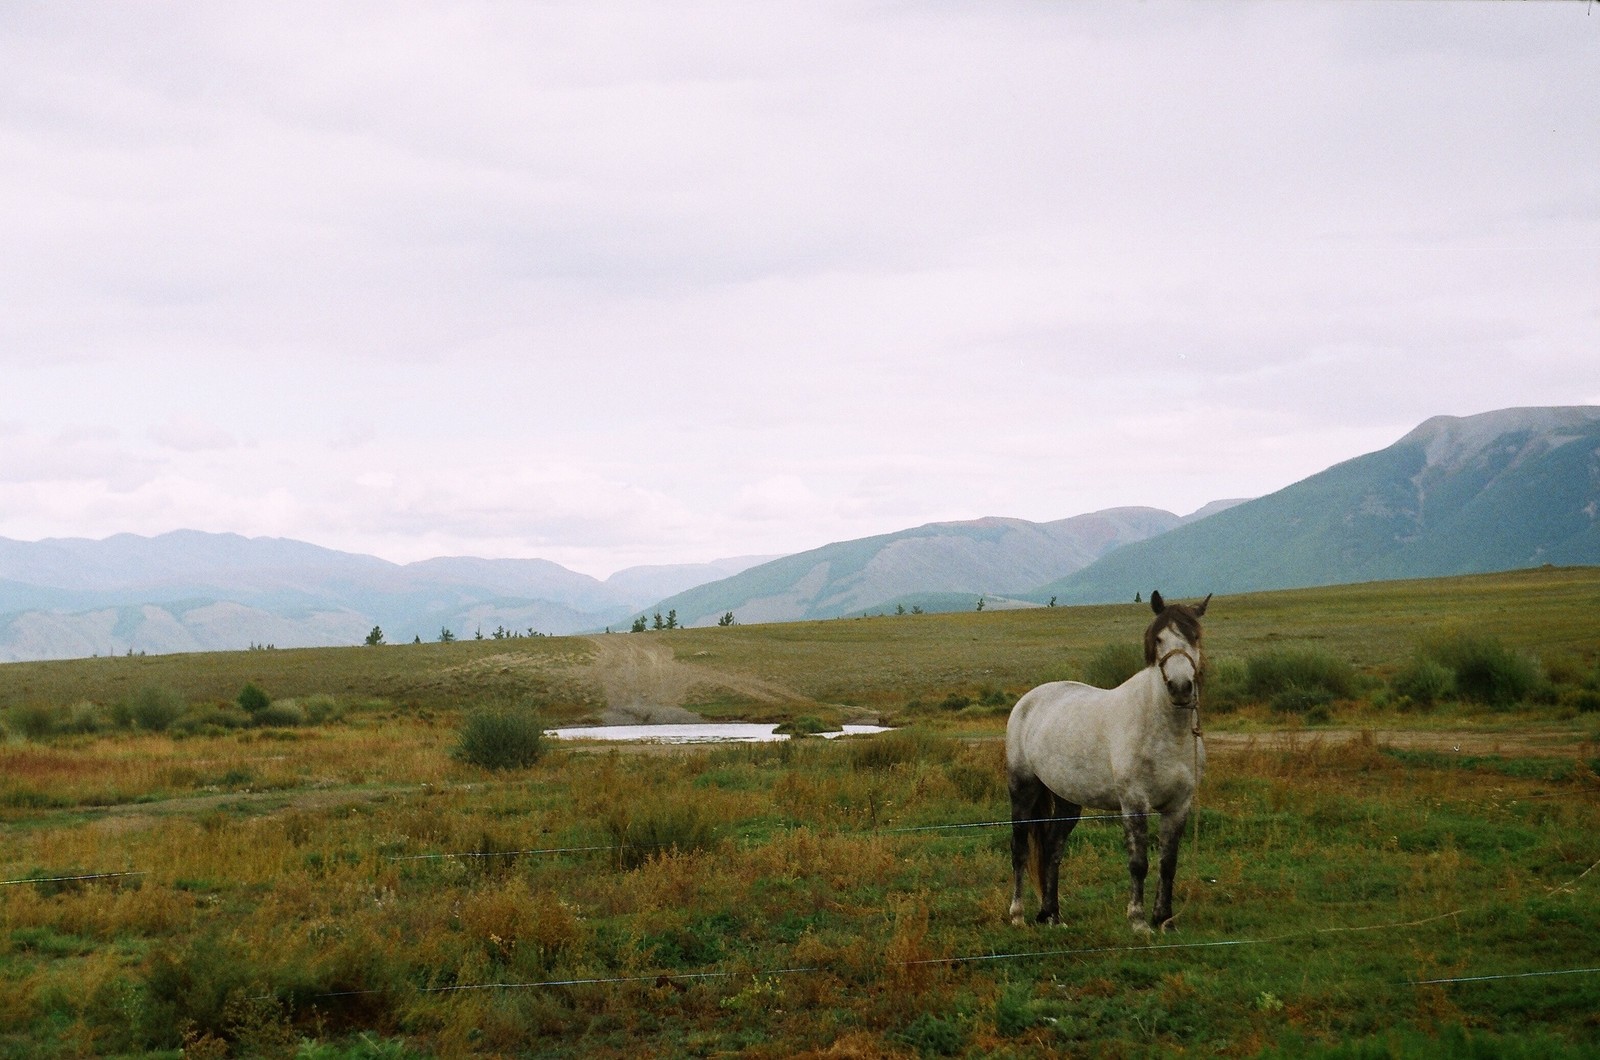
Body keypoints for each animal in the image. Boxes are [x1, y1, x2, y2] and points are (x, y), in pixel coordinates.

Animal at [998, 592, 1209, 935]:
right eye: (1159, 639)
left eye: (1195, 637)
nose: (1180, 687)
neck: (1163, 729)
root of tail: (1028, 701)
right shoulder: (1134, 803)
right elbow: (1139, 863)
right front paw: (1138, 921)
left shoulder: (1179, 805)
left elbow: (1168, 863)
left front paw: (1164, 919)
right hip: (1023, 789)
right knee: (1020, 849)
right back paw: (1017, 914)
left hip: (1067, 800)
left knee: (1053, 849)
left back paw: (1052, 915)